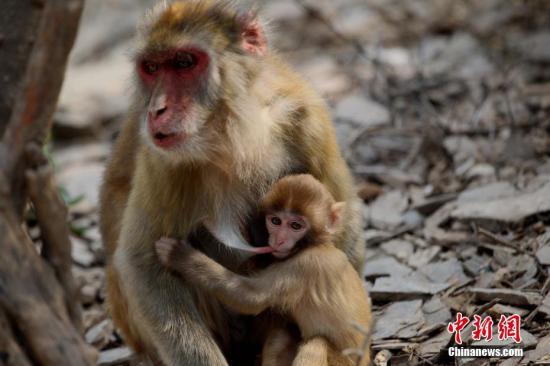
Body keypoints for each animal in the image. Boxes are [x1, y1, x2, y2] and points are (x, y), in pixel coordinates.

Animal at [157, 175, 374, 366]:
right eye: (275, 221)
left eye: (296, 225)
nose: (278, 240)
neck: (318, 244)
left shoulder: (304, 266)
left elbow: (251, 298)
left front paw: (179, 255)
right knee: (281, 335)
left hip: (343, 362)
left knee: (316, 344)